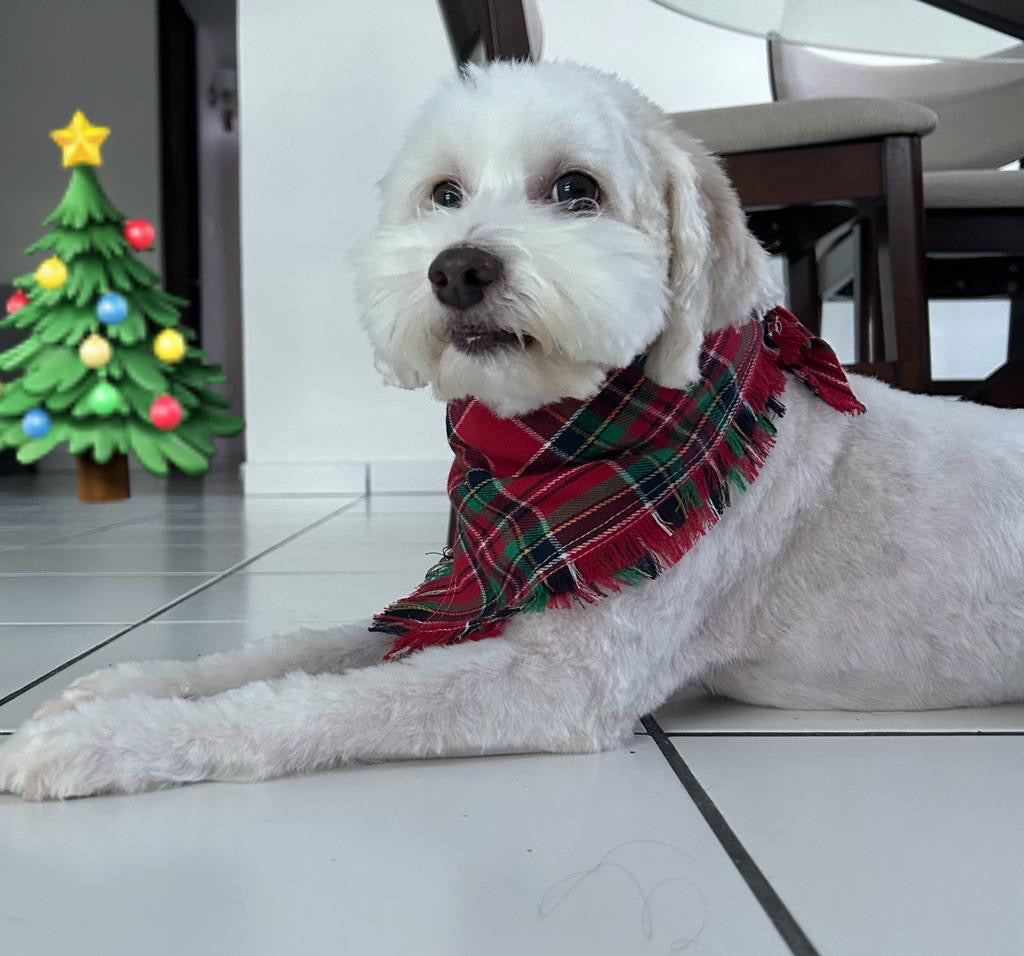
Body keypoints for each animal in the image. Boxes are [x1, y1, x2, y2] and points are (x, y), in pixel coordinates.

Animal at [2, 63, 1024, 806]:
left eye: (576, 188)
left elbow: (306, 709)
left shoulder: (560, 681)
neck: (557, 456)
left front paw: (103, 739)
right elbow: (283, 653)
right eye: (444, 193)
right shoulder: (461, 601)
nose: (457, 269)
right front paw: (119, 686)